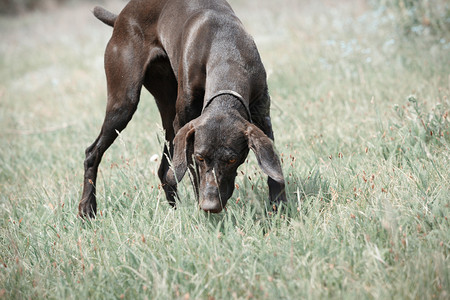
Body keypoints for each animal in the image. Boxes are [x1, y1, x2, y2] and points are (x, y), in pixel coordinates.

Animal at [78, 0, 286, 217]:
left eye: (232, 160)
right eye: (200, 157)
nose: (210, 205)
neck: (226, 50)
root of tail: (120, 17)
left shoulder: (262, 117)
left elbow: (274, 169)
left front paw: (279, 207)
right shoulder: (186, 123)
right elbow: (193, 172)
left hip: (167, 109)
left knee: (164, 170)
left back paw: (175, 212)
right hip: (124, 103)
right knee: (92, 152)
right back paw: (87, 209)